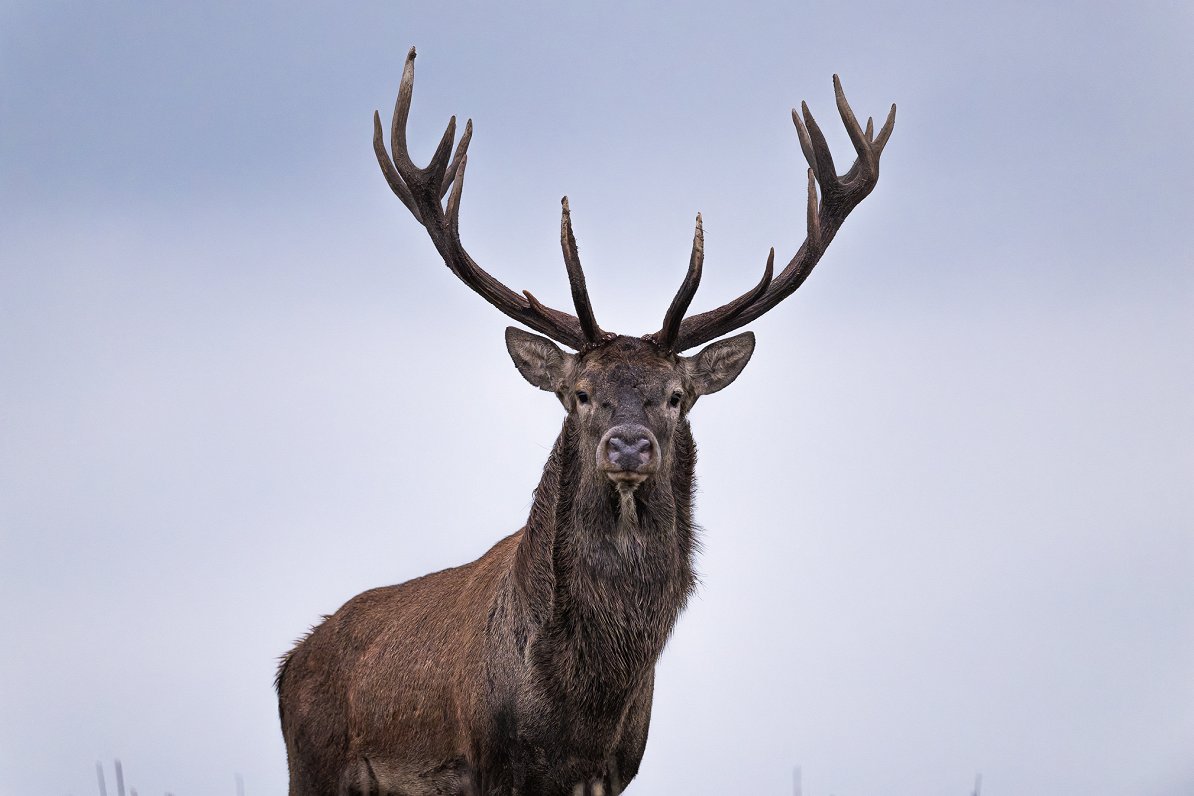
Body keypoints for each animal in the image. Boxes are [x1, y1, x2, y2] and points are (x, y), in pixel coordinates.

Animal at [277, 46, 897, 792]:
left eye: (675, 395)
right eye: (578, 392)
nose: (628, 446)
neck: (582, 708)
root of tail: (288, 666)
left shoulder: (618, 768)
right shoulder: (489, 760)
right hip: (312, 766)